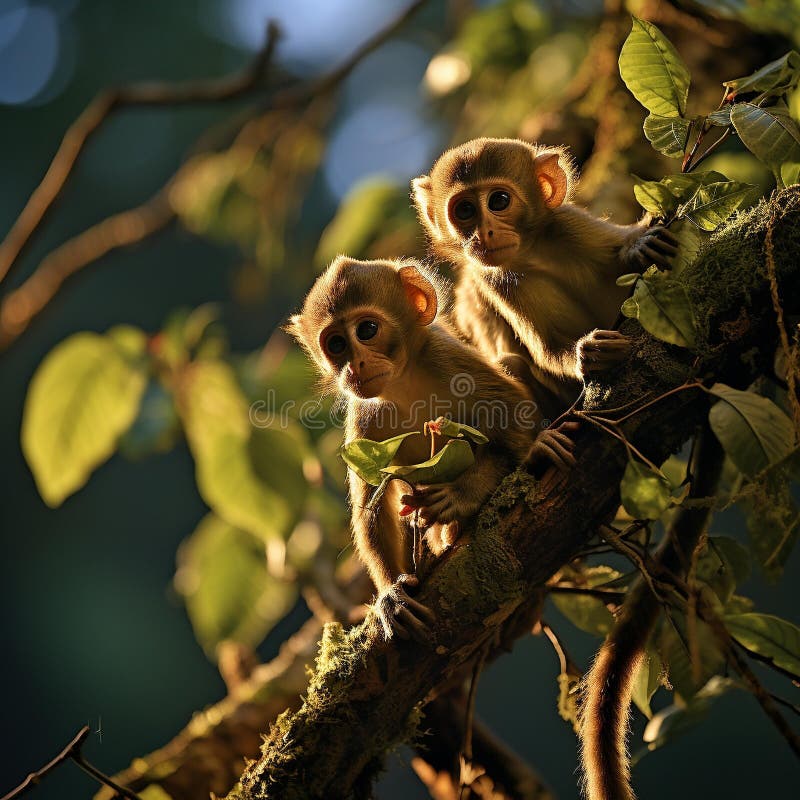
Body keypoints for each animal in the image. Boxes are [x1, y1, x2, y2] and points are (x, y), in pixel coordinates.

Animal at [288, 256, 576, 644]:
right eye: (335, 345)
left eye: (367, 330)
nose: (354, 366)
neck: (405, 381)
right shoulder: (363, 416)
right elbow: (372, 506)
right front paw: (391, 594)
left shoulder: (448, 358)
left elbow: (513, 409)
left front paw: (463, 493)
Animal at [410, 137, 680, 416]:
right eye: (464, 210)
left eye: (499, 200)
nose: (484, 234)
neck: (533, 251)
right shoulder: (495, 281)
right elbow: (548, 350)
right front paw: (589, 354)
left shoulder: (571, 224)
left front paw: (638, 246)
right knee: (510, 362)